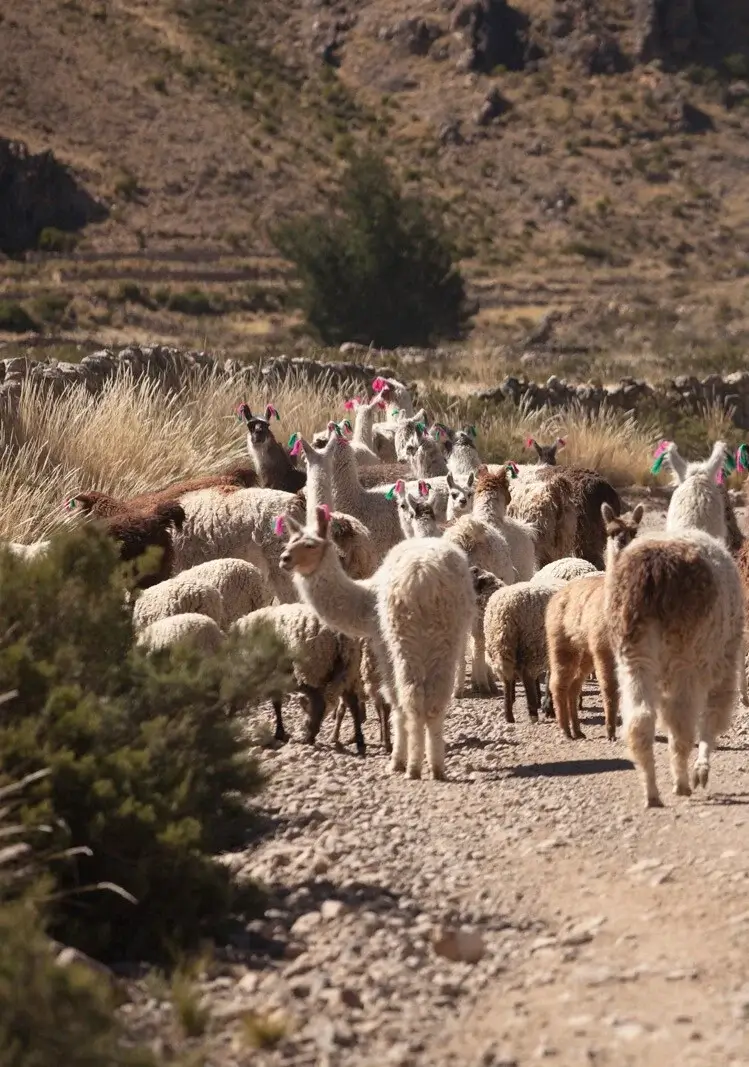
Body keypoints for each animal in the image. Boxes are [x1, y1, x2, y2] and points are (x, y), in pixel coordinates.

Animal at [233, 606, 364, 755]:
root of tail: (340, 636)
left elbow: (276, 702)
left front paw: (279, 733)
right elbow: (276, 702)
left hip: (311, 669)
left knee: (320, 703)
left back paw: (309, 738)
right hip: (349, 670)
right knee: (353, 703)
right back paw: (359, 742)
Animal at [281, 503, 475, 781]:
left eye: (309, 545)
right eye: (289, 542)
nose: (284, 559)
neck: (364, 601)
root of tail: (424, 576)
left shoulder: (381, 642)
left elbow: (393, 700)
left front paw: (396, 759)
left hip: (402, 637)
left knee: (411, 697)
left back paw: (412, 767)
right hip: (448, 636)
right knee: (436, 700)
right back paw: (437, 767)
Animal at [546, 501, 644, 738]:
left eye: (633, 531)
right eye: (611, 531)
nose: (622, 541)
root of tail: (557, 595)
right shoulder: (603, 649)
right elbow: (609, 688)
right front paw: (610, 731)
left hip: (585, 651)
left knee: (573, 685)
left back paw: (577, 730)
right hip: (562, 642)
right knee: (559, 683)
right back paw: (565, 729)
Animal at [606, 524, 746, 806]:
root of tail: (653, 569)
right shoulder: (725, 660)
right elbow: (714, 714)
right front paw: (701, 770)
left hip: (633, 654)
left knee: (640, 719)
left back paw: (651, 793)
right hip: (686, 654)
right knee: (681, 720)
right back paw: (681, 783)